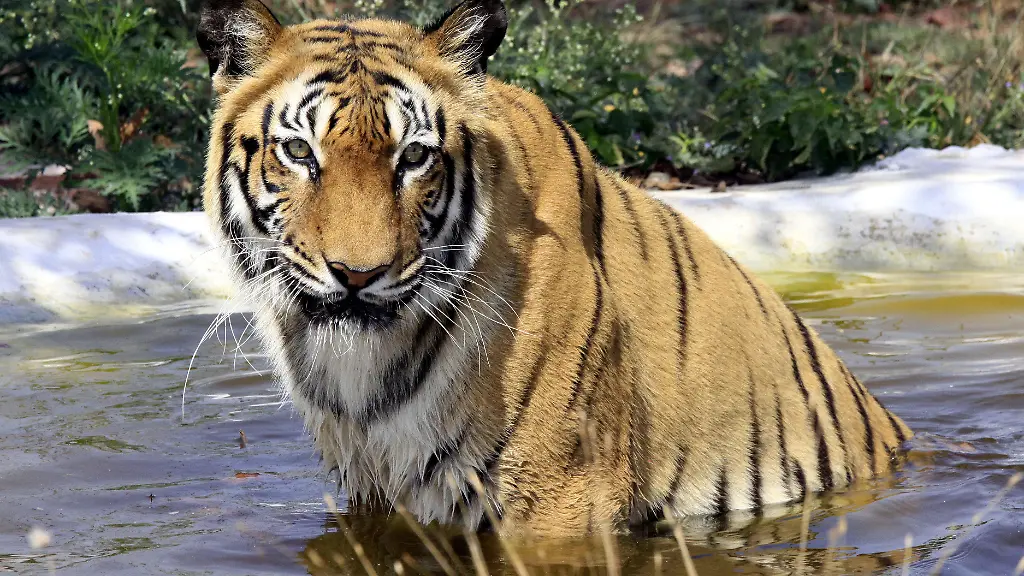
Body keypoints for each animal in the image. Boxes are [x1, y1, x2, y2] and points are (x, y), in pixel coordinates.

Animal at [196, 0, 912, 537]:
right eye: (298, 152)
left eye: (414, 158)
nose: (357, 274)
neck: (367, 374)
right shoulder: (371, 493)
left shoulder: (562, 498)